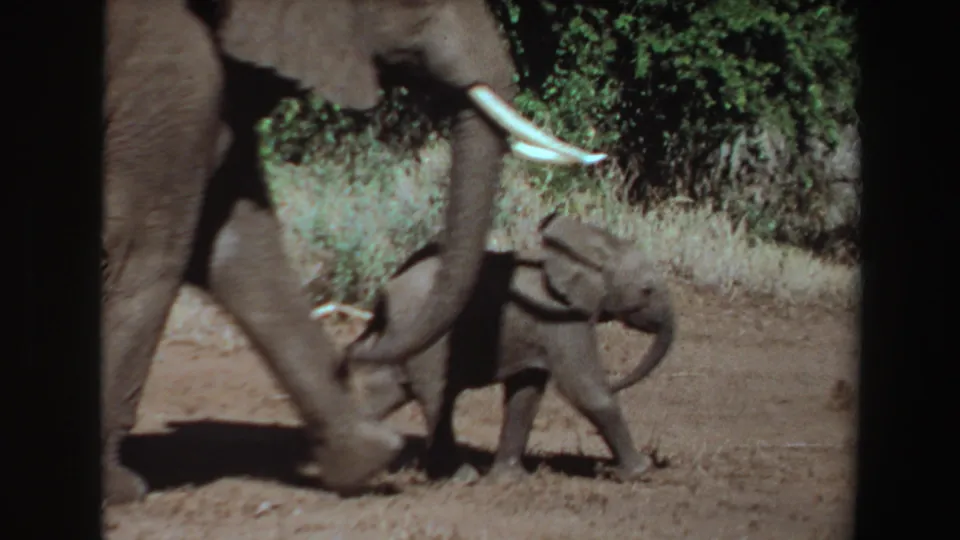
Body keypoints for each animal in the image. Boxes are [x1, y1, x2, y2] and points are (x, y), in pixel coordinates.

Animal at [102, 0, 607, 506]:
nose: (354, 351)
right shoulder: (167, 67)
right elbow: (148, 249)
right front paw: (120, 487)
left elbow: (237, 244)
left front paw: (367, 457)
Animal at [341, 213, 676, 483]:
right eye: (647, 290)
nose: (621, 380)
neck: (587, 246)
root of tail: (386, 292)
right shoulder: (563, 319)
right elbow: (585, 390)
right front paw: (639, 472)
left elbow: (526, 395)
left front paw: (510, 480)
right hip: (429, 338)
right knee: (435, 395)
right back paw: (461, 477)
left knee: (386, 388)